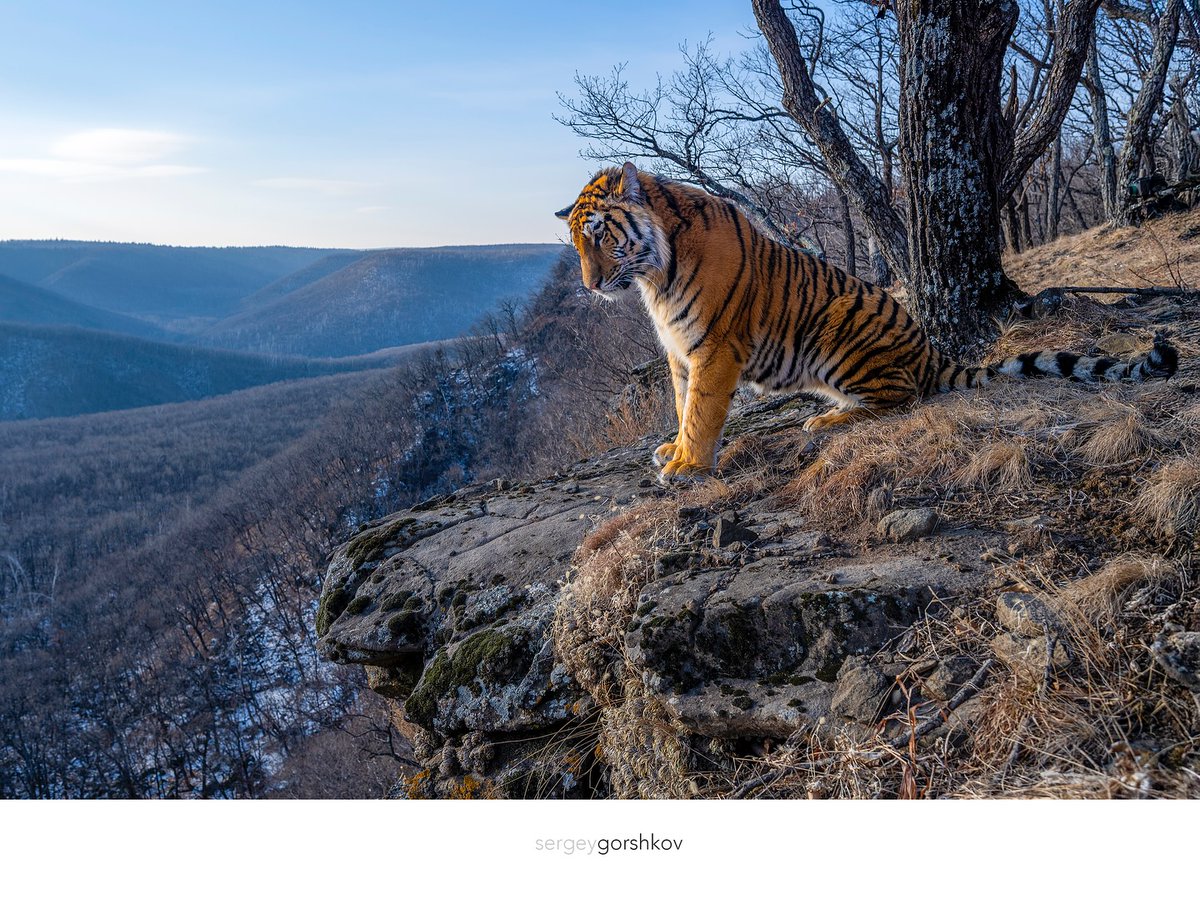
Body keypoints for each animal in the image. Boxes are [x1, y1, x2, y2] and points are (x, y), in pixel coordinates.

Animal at [555, 161, 1179, 482]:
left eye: (599, 236)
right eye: (575, 243)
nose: (589, 286)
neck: (653, 275)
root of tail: (930, 351)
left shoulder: (714, 346)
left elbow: (702, 410)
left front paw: (688, 465)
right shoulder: (679, 349)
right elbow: (682, 403)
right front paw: (673, 449)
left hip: (839, 333)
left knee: (899, 398)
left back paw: (825, 422)